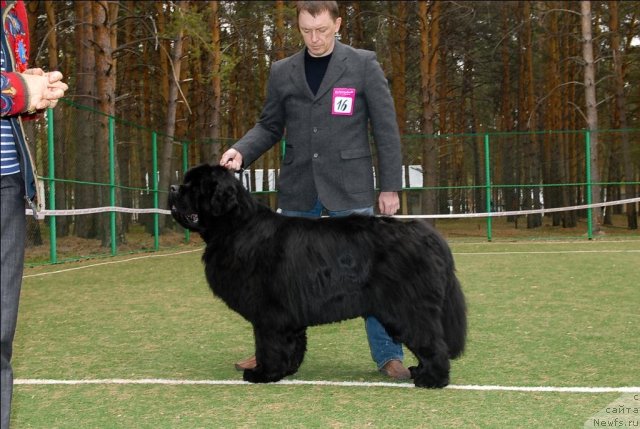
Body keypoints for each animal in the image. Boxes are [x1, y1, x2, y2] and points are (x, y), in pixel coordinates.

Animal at [170, 165, 468, 388]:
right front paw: (287, 369)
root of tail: (428, 235)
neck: (237, 226)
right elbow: (292, 343)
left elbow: (268, 344)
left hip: (407, 307)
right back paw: (419, 371)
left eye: (194, 186)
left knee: (432, 342)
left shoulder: (269, 312)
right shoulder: (289, 313)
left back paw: (431, 379)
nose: (172, 189)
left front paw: (263, 373)